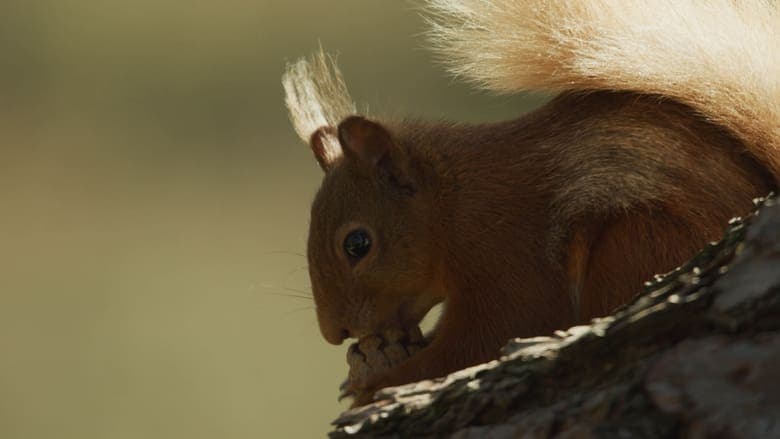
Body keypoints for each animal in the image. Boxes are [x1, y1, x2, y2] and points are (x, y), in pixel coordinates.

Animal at [282, 0, 780, 408]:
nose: (334, 333)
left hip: (634, 243)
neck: (453, 204)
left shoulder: (508, 257)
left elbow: (484, 340)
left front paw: (378, 381)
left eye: (357, 244)